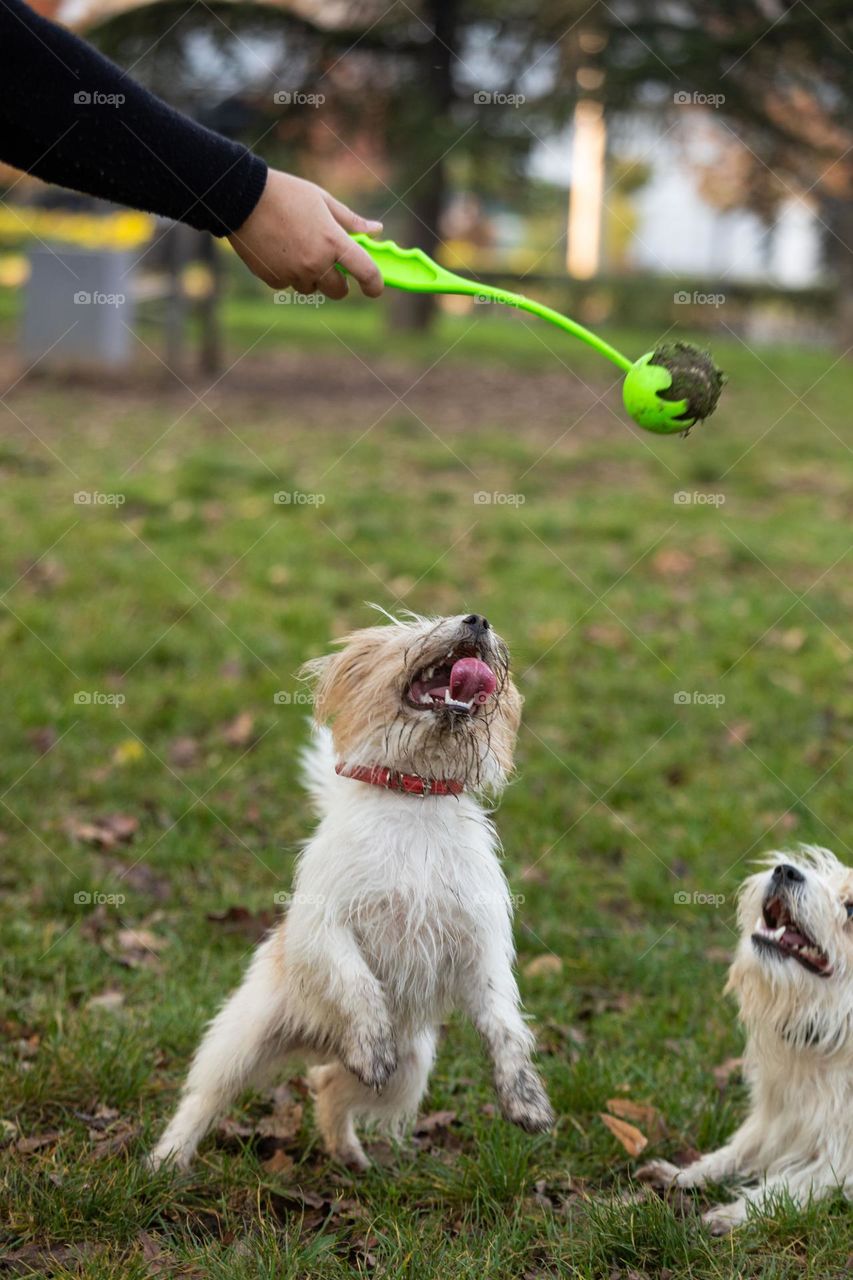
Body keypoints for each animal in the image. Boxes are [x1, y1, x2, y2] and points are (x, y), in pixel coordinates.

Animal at [148, 609, 550, 1172]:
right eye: (417, 627)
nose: (478, 620)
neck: (415, 800)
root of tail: (324, 1040)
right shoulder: (326, 926)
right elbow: (358, 983)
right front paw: (372, 1042)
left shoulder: (481, 947)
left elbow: (504, 1025)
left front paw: (525, 1099)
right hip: (242, 1039)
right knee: (206, 1097)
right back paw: (167, 1159)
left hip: (410, 1071)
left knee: (330, 1089)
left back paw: (349, 1153)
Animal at [637, 849, 850, 1228]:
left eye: (851, 908)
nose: (785, 871)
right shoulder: (777, 1118)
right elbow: (737, 1150)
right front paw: (684, 1173)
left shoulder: (839, 1157)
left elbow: (787, 1186)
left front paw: (734, 1213)